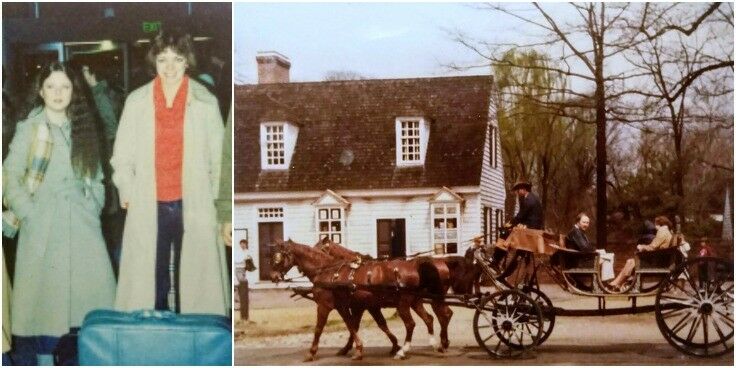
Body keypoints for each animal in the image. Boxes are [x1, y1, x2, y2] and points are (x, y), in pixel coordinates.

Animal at [268, 239, 446, 360]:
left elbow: (319, 328)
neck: (328, 272)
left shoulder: (325, 306)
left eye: (278, 257)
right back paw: (435, 345)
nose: (273, 276)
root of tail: (415, 266)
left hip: (403, 303)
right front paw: (356, 349)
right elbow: (354, 325)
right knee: (429, 319)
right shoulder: (349, 306)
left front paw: (312, 353)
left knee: (411, 324)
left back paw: (405, 350)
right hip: (415, 301)